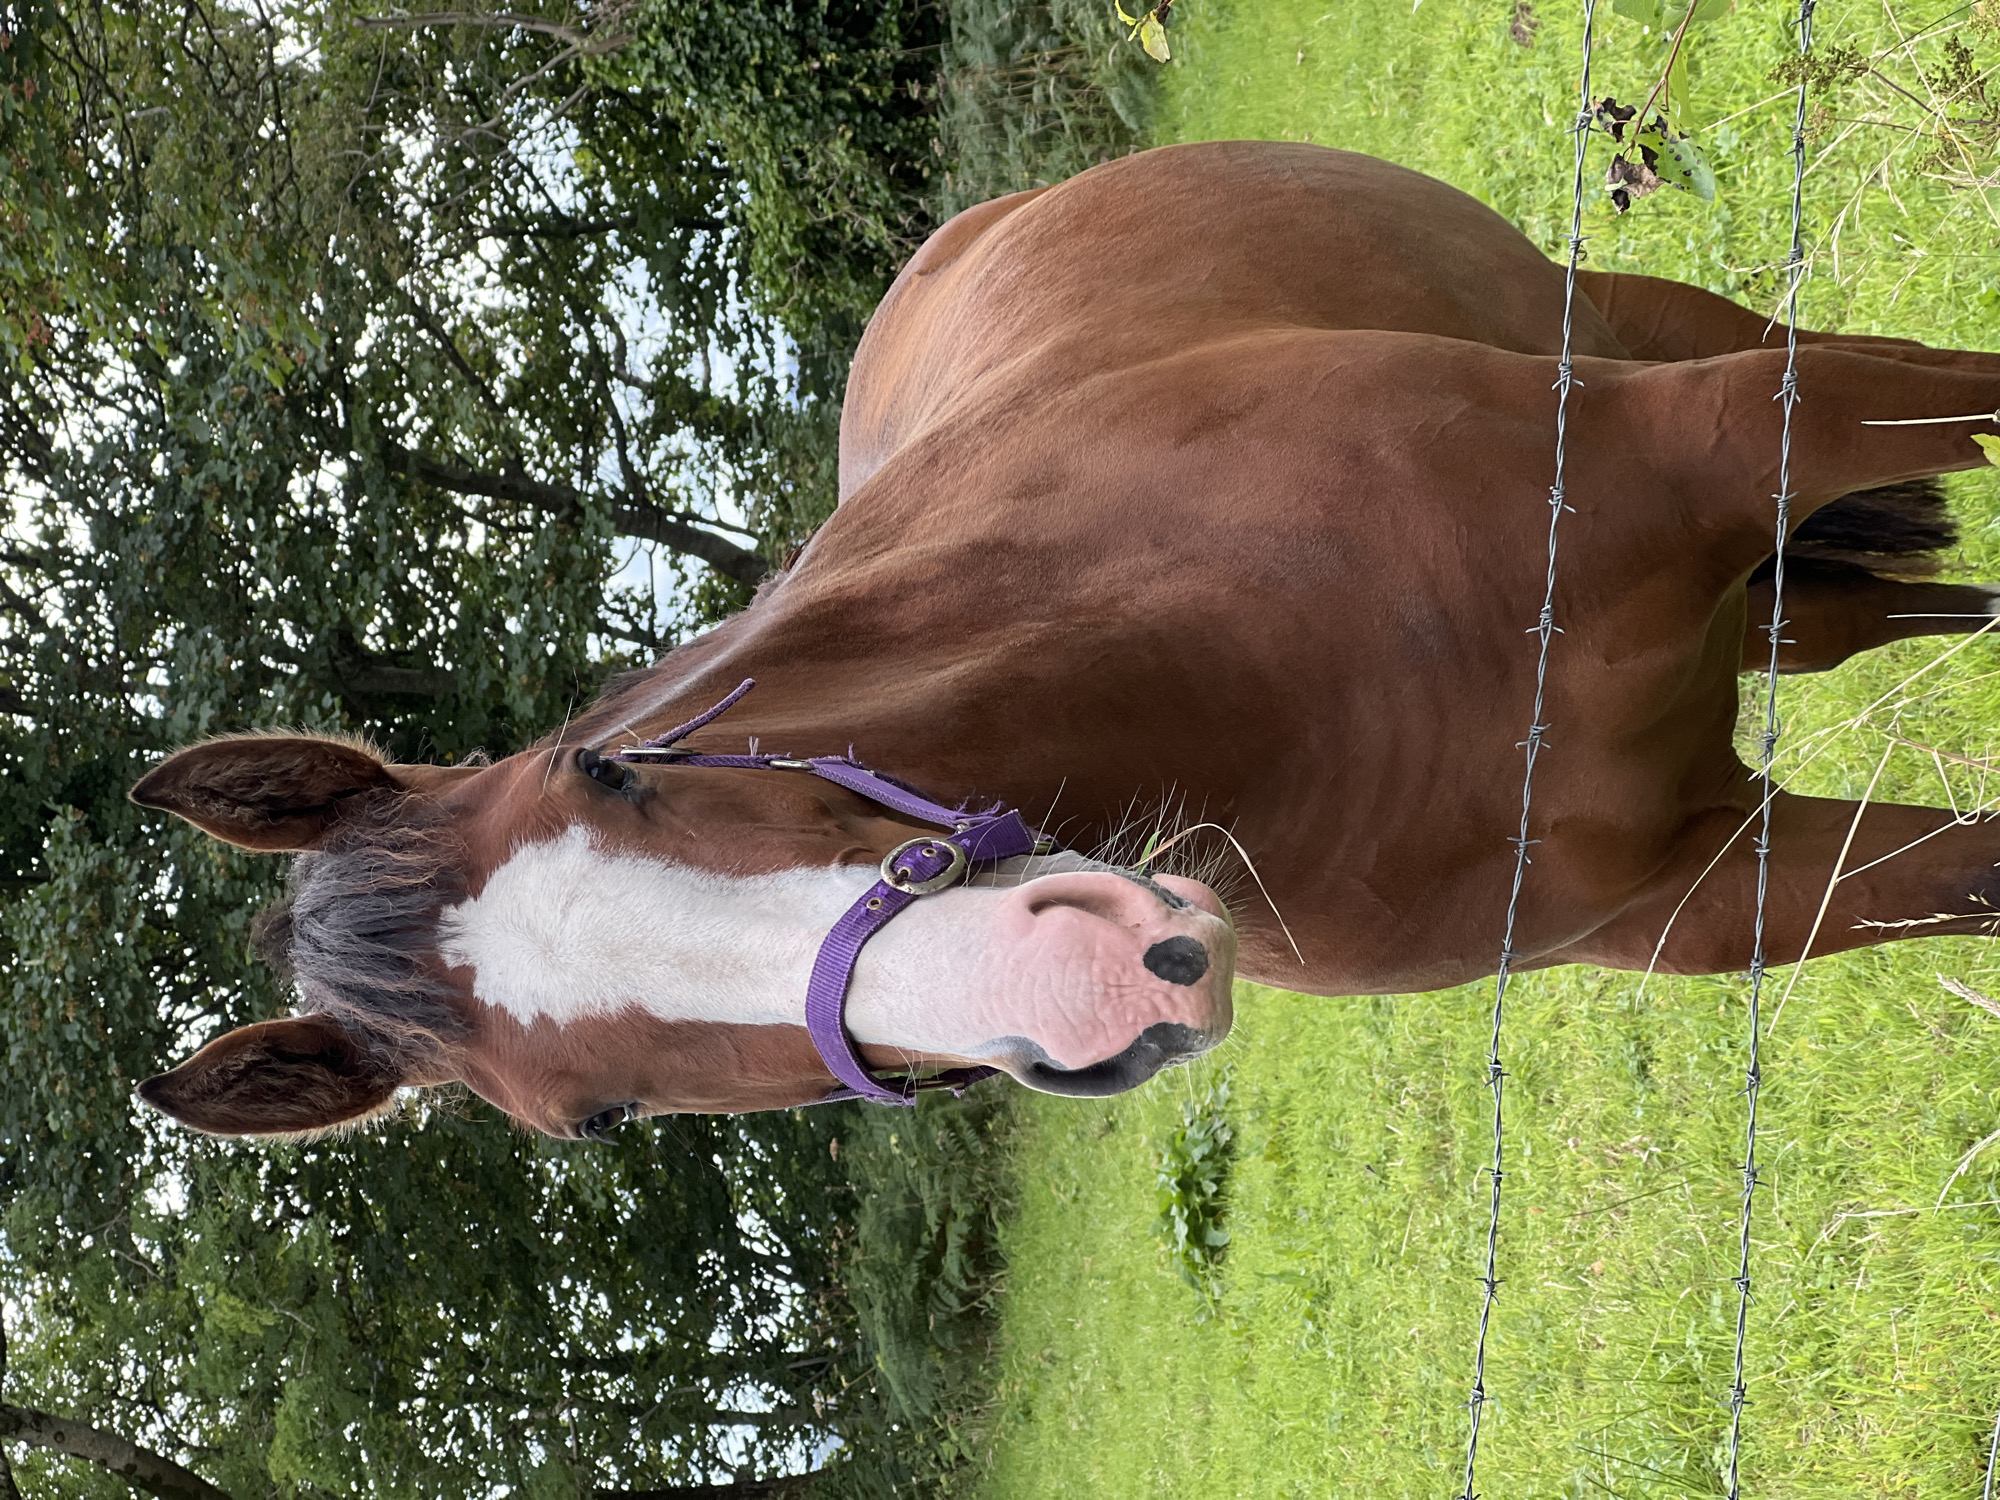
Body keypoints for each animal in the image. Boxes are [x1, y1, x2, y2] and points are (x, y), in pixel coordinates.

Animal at [131, 141, 2000, 1140]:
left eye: (614, 766)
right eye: (605, 1118)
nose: (1081, 983)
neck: (1281, 670)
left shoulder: (1746, 432)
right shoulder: (1723, 894)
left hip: (1641, 327)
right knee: (1858, 618)